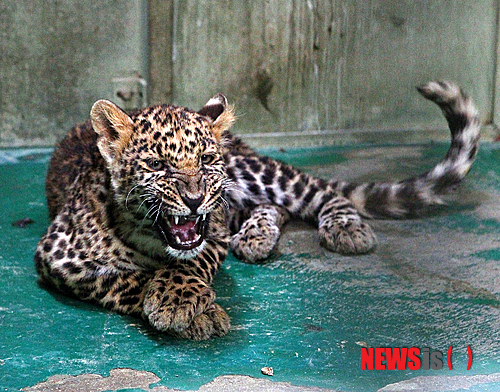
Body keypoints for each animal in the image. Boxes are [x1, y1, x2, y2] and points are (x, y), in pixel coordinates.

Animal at [35, 81, 480, 338]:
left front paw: (178, 300)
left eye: (206, 160)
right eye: (158, 165)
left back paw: (343, 228)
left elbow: (189, 265)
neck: (147, 234)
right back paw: (255, 238)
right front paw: (197, 313)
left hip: (255, 173)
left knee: (314, 191)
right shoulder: (57, 258)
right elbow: (125, 280)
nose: (194, 199)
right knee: (272, 208)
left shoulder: (211, 235)